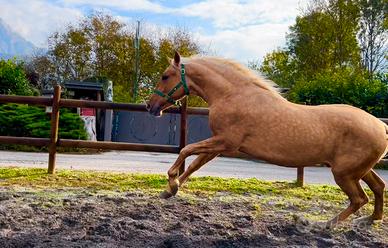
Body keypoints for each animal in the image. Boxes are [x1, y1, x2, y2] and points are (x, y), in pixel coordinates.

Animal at [146, 51, 388, 227]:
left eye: (165, 76)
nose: (150, 106)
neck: (233, 94)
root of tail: (382, 127)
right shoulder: (219, 145)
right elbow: (194, 165)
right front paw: (169, 190)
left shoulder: (225, 141)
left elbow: (186, 150)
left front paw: (172, 182)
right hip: (359, 170)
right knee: (378, 187)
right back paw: (368, 220)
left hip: (344, 173)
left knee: (359, 199)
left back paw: (323, 225)